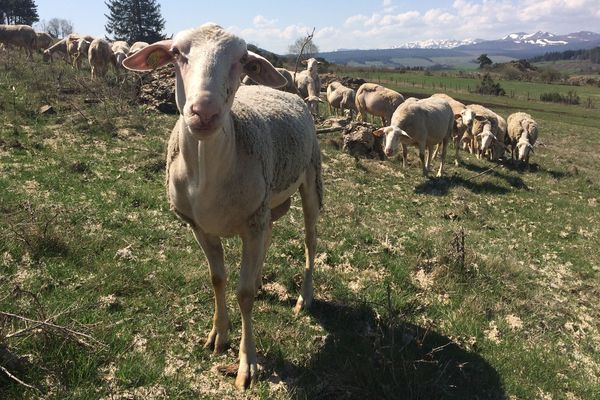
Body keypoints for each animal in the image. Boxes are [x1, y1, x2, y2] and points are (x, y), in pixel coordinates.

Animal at [121, 22, 324, 390]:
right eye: (177, 53)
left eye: (243, 60)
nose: (205, 112)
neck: (208, 175)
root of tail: (291, 93)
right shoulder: (200, 226)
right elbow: (217, 279)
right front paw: (219, 335)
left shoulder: (253, 221)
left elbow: (243, 294)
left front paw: (248, 363)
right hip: (266, 206)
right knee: (270, 237)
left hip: (311, 177)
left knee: (309, 241)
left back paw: (305, 296)